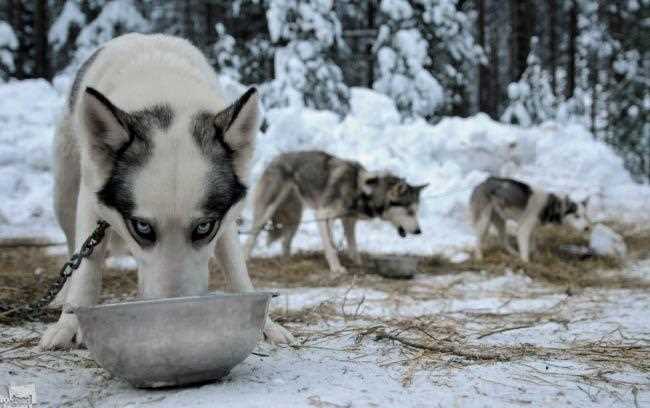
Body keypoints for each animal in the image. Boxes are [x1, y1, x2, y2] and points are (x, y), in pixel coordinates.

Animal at [39, 32, 292, 350]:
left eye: (204, 227)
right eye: (142, 227)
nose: (176, 314)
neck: (166, 99)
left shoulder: (225, 217)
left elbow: (236, 266)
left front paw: (266, 323)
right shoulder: (90, 200)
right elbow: (87, 267)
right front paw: (68, 322)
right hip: (64, 194)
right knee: (73, 249)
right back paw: (63, 296)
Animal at [243, 148, 426, 276]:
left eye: (416, 211)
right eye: (409, 211)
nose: (419, 231)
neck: (361, 191)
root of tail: (276, 158)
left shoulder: (348, 220)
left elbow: (353, 245)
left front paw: (358, 262)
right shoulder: (323, 215)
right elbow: (330, 246)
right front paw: (336, 268)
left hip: (296, 218)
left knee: (285, 243)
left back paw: (287, 262)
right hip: (267, 212)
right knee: (252, 236)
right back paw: (246, 259)